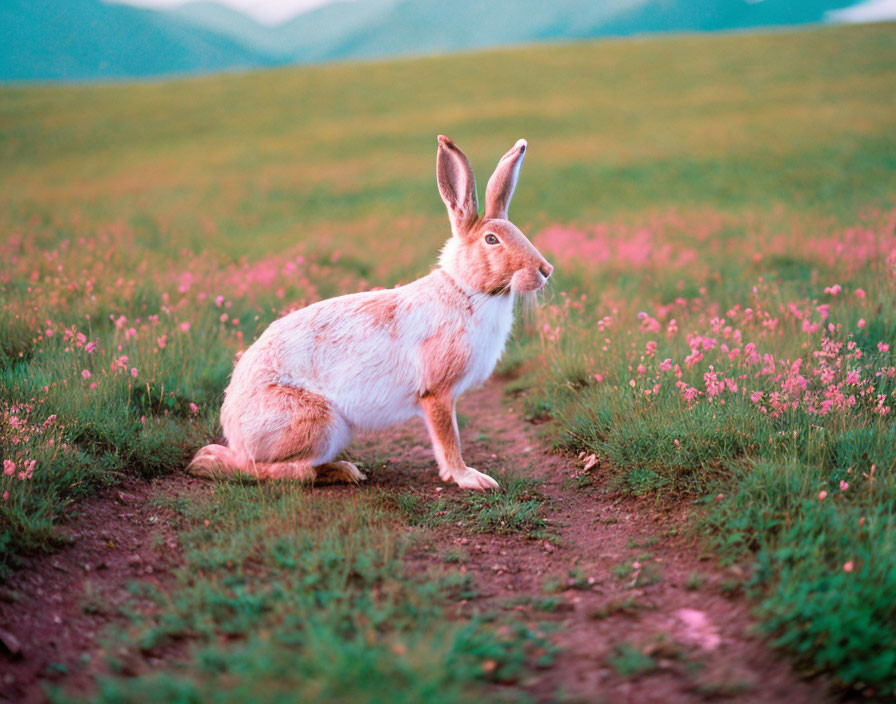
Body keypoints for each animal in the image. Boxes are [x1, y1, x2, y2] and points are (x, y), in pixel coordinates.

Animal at [187, 136, 552, 490]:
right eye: (491, 240)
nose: (546, 270)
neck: (465, 289)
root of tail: (233, 426)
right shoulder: (437, 393)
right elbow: (449, 439)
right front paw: (471, 479)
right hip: (321, 424)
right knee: (258, 468)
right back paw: (341, 471)